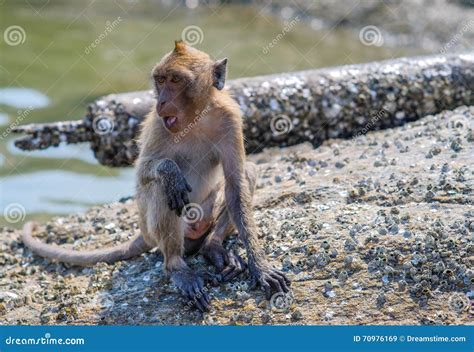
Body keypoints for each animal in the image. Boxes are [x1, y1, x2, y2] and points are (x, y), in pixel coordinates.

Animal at [22, 40, 290, 312]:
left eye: (175, 80)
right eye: (160, 80)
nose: (161, 101)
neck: (196, 118)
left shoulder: (230, 119)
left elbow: (236, 184)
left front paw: (260, 266)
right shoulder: (160, 125)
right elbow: (143, 175)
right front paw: (170, 172)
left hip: (205, 214)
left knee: (247, 172)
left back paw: (212, 247)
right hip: (156, 228)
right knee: (163, 192)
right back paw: (177, 267)